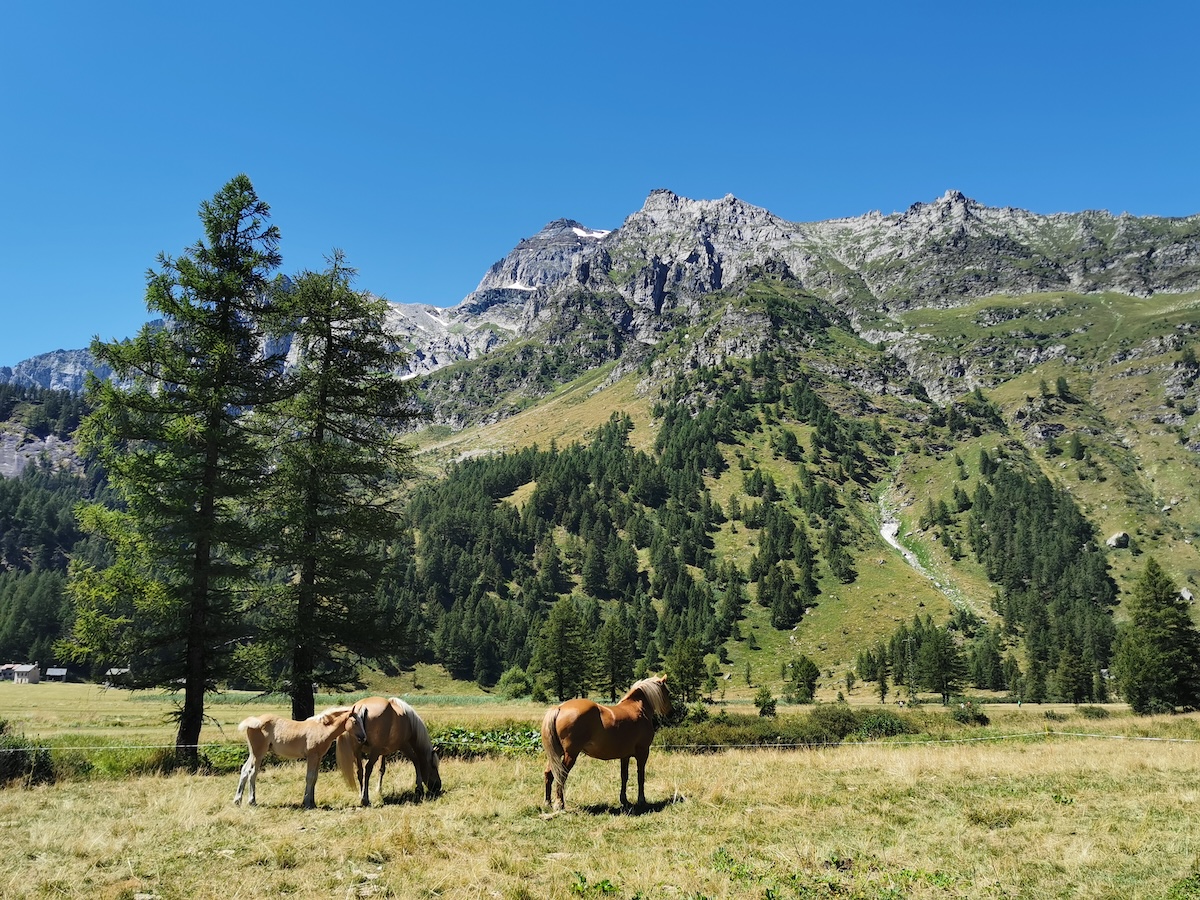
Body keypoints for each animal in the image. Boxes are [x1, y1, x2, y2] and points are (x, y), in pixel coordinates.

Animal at [233, 705, 365, 809]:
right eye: (355, 722)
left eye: (362, 722)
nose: (363, 738)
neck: (322, 729)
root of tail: (255, 720)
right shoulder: (312, 756)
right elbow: (310, 777)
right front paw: (306, 803)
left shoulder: (318, 757)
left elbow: (315, 778)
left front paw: (312, 802)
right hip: (258, 754)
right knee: (252, 773)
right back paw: (252, 801)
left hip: (253, 753)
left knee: (244, 770)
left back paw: (237, 800)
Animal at [541, 674, 672, 811]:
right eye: (668, 693)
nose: (671, 712)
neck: (637, 708)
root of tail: (559, 708)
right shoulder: (643, 752)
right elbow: (640, 776)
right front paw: (641, 800)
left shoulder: (625, 756)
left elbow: (624, 776)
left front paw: (624, 800)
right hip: (570, 754)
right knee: (561, 775)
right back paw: (559, 804)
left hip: (557, 754)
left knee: (549, 773)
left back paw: (548, 803)